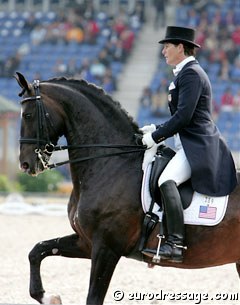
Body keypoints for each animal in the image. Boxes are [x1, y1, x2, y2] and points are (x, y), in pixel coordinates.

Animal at [15, 72, 240, 304]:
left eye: (28, 115)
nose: (25, 164)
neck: (111, 163)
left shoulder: (106, 248)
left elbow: (93, 298)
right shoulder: (86, 242)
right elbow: (37, 250)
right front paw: (48, 296)